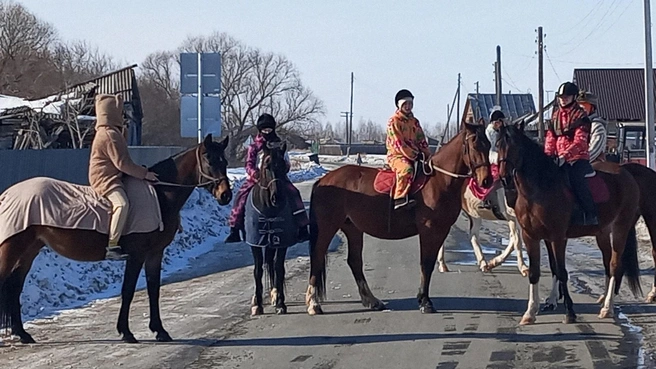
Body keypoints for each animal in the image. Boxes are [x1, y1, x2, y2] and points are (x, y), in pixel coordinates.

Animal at [0, 133, 233, 342]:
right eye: (209, 160)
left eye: (225, 161)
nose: (226, 196)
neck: (159, 196)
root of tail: (7, 195)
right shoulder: (137, 255)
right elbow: (128, 290)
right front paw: (126, 332)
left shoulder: (155, 254)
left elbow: (153, 290)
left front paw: (160, 331)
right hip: (12, 249)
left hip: (29, 250)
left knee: (15, 288)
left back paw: (23, 334)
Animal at [246, 139, 298, 314]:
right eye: (266, 166)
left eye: (283, 166)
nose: (277, 197)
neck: (268, 208)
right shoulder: (255, 242)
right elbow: (257, 270)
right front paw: (258, 304)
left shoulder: (281, 241)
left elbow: (278, 268)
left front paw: (280, 303)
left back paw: (275, 295)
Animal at [304, 122, 490, 314]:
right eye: (475, 145)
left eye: (489, 145)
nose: (486, 181)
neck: (438, 181)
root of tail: (323, 180)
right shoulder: (429, 230)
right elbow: (426, 264)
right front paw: (425, 301)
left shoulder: (441, 230)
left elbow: (429, 263)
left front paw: (423, 298)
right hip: (327, 227)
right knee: (317, 256)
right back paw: (313, 304)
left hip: (353, 228)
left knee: (354, 261)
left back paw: (372, 300)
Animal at [498, 122, 640, 324]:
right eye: (498, 145)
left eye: (515, 146)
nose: (504, 177)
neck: (538, 189)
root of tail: (626, 173)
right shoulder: (531, 237)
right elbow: (535, 272)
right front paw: (530, 312)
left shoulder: (558, 238)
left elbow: (561, 270)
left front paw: (569, 312)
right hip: (602, 232)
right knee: (607, 263)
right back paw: (605, 299)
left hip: (621, 227)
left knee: (614, 265)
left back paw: (607, 308)